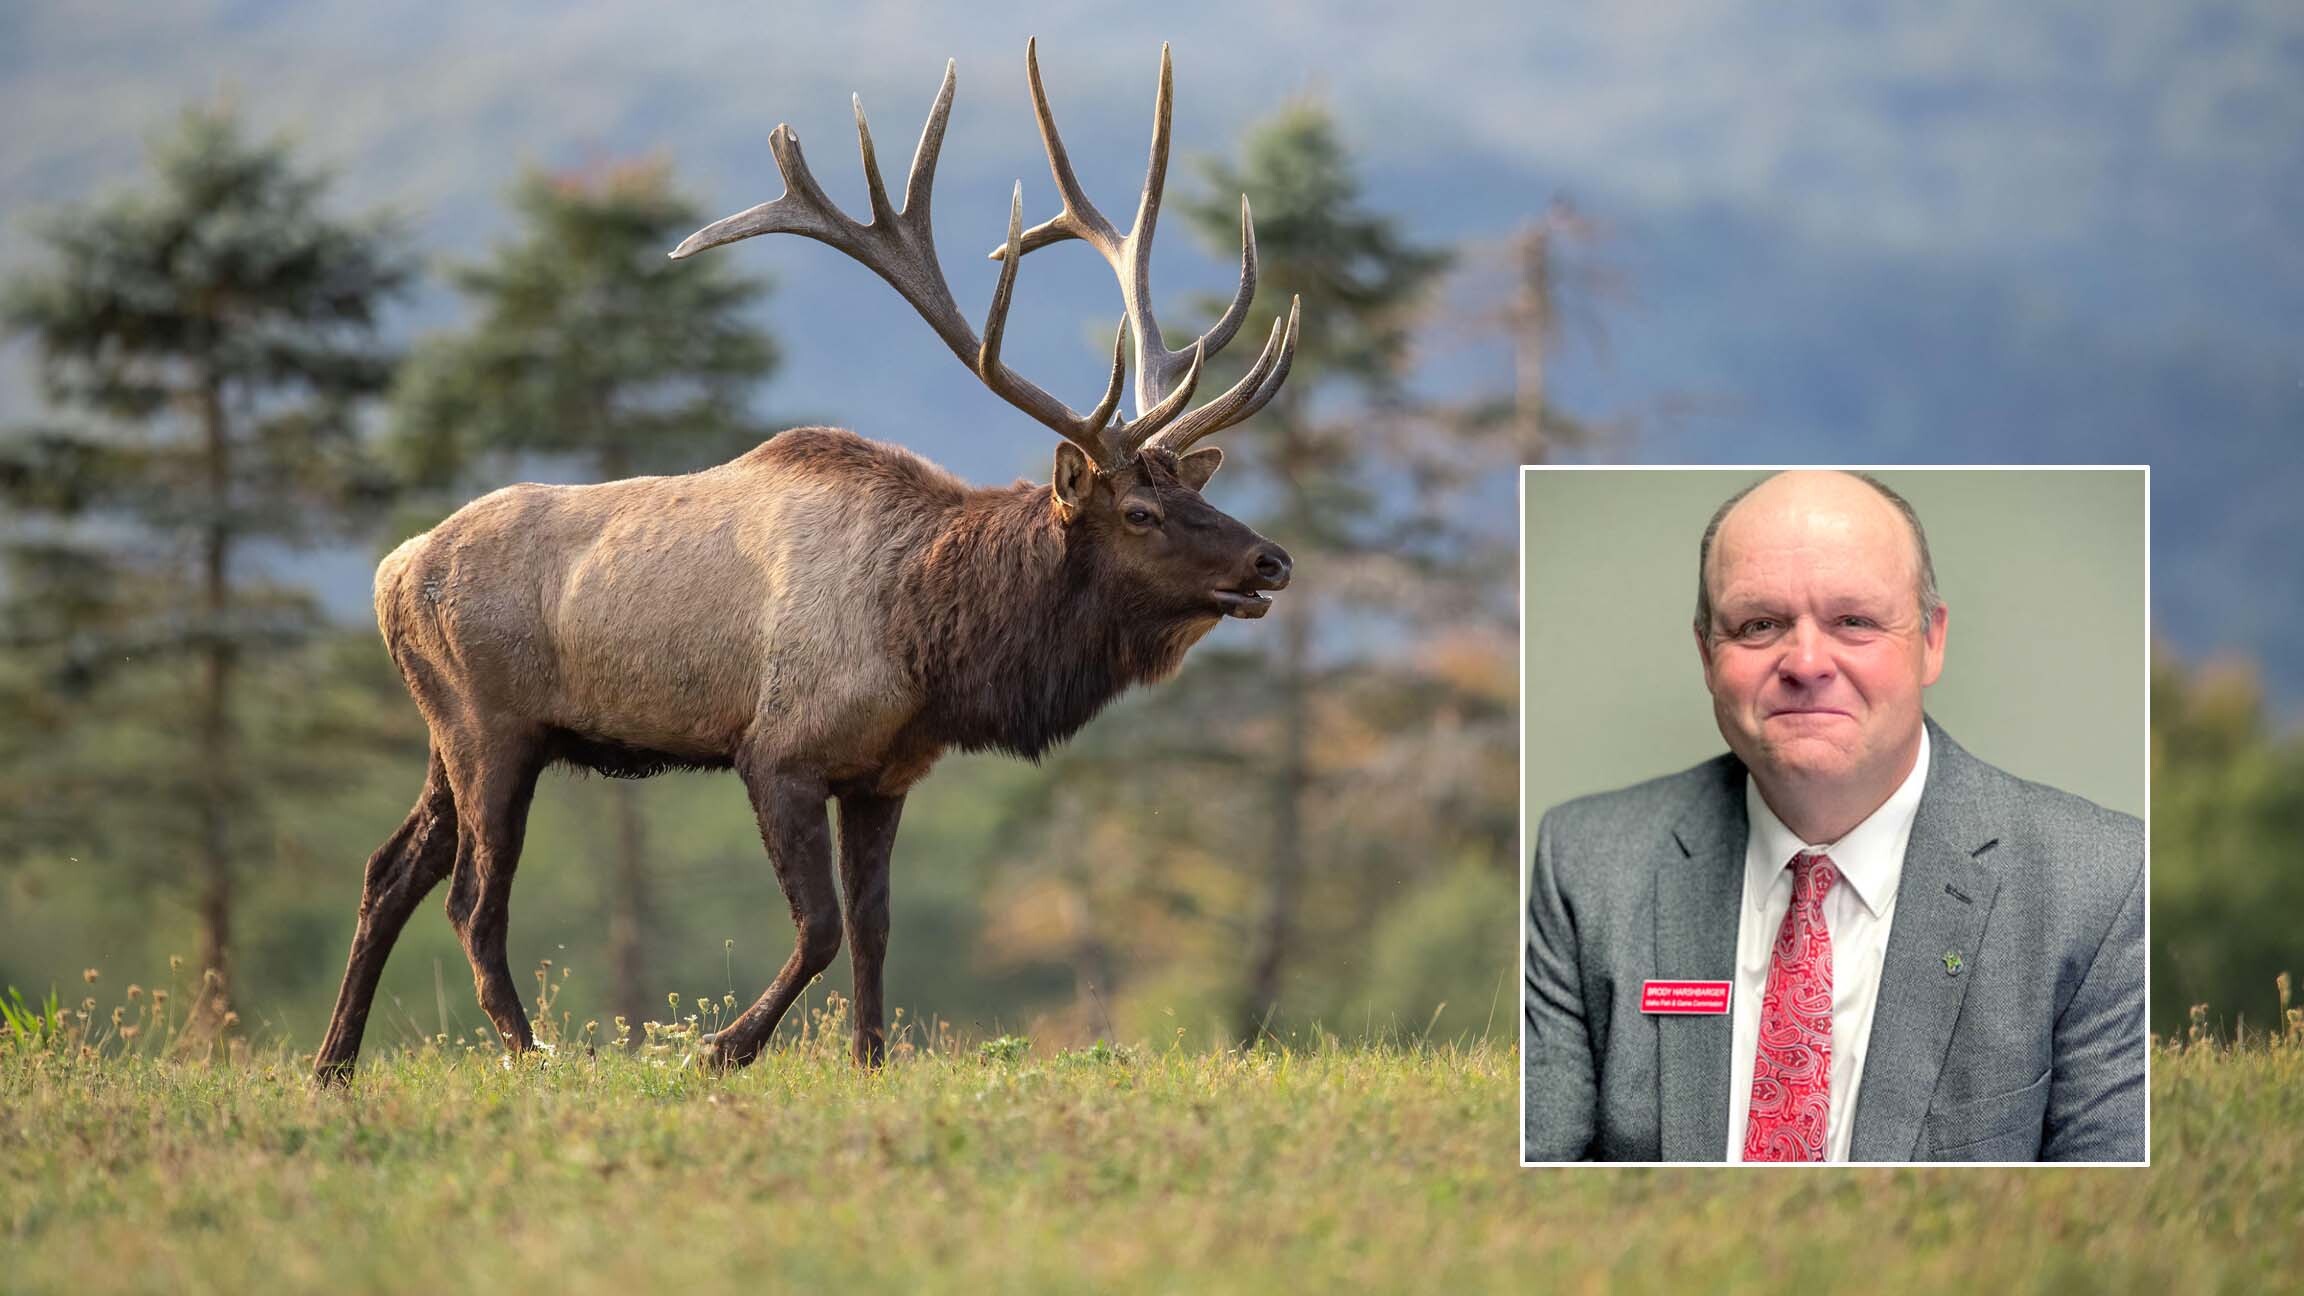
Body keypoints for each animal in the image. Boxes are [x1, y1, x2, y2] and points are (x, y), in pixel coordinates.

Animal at [313, 39, 1301, 1081]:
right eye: (1143, 511)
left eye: (1195, 493)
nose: (1271, 561)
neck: (929, 644)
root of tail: (390, 572)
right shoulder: (778, 751)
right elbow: (820, 928)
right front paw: (719, 1049)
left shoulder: (885, 772)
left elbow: (873, 927)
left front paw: (869, 1059)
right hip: (491, 725)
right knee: (471, 901)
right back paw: (531, 1051)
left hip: (453, 732)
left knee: (390, 871)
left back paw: (333, 1063)